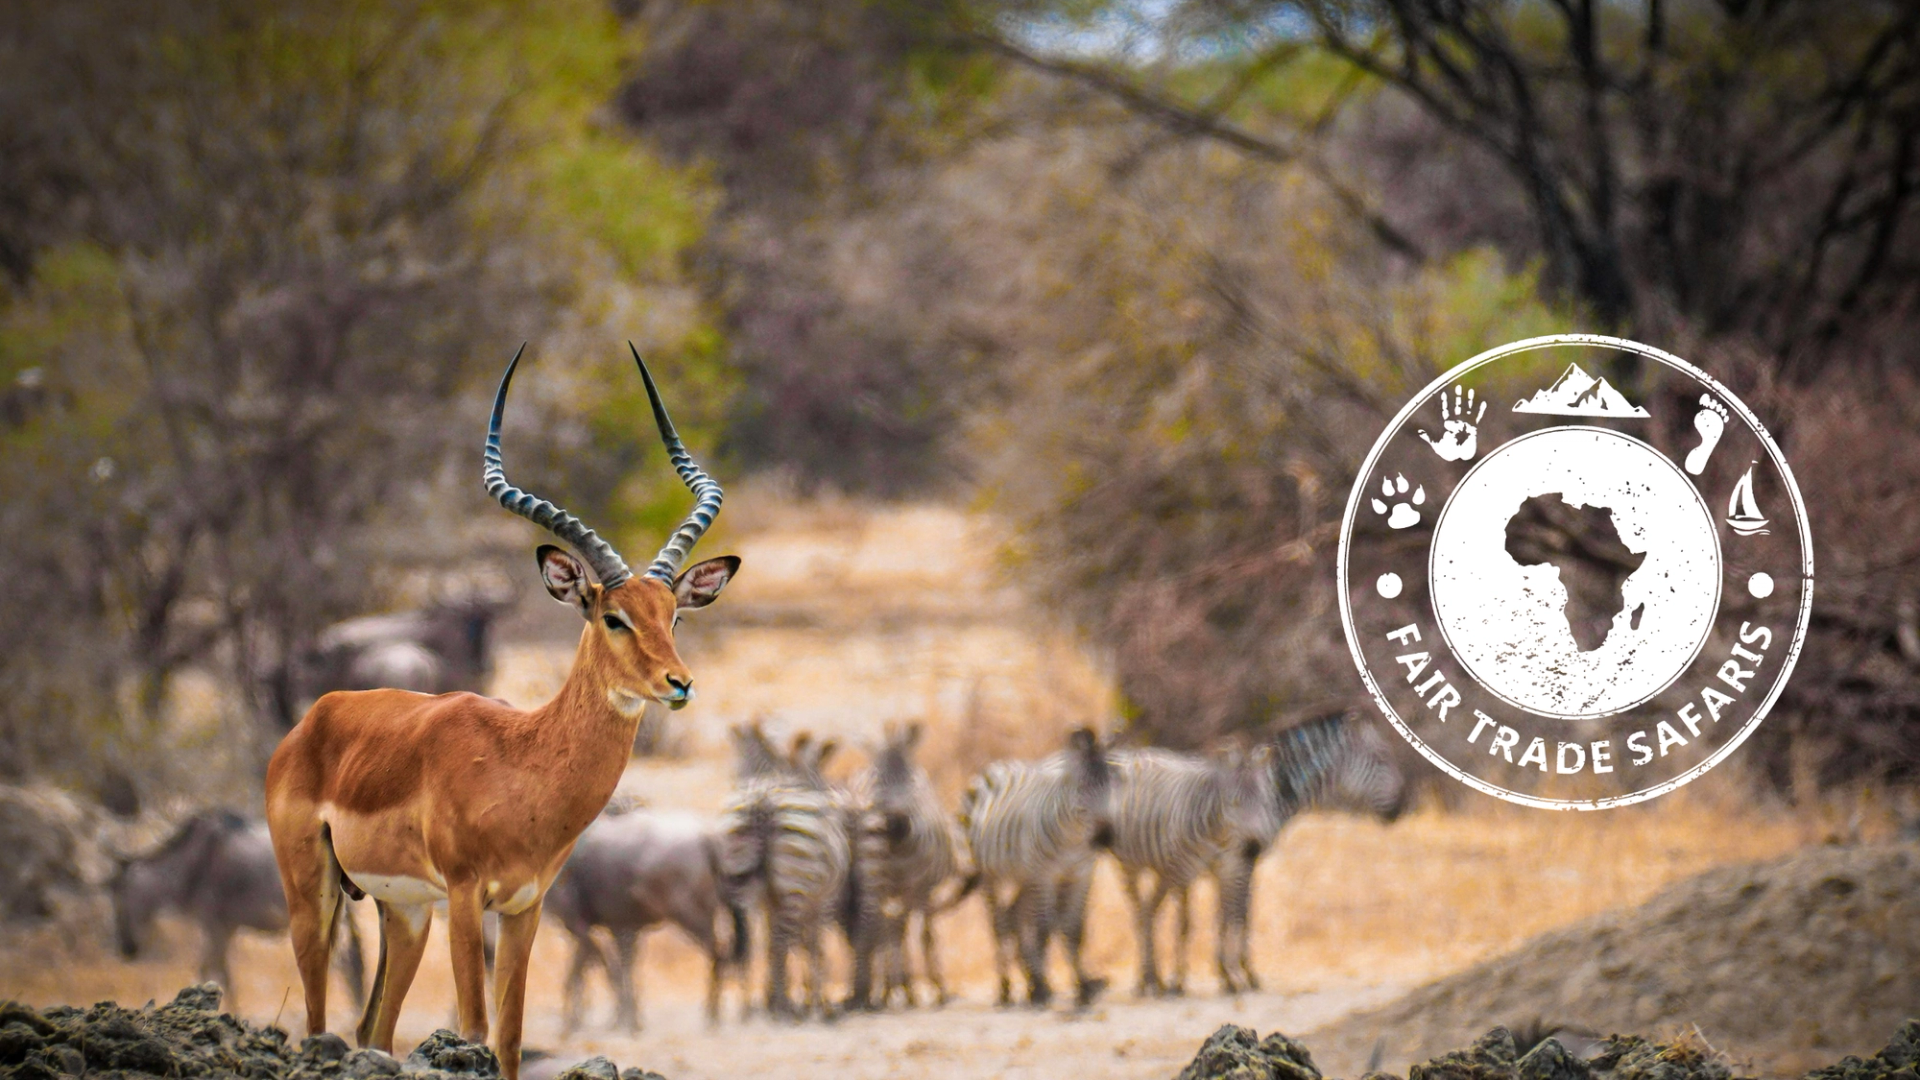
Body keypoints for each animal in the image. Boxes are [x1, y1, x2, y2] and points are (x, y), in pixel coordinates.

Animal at [265, 344, 738, 1080]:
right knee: (319, 1022)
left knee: (373, 1027)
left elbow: (511, 1036)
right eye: (613, 616)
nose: (678, 683)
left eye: (675, 615)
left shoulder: (524, 904)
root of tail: (315, 719)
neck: (522, 763)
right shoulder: (467, 896)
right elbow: (475, 1027)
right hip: (312, 894)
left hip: (404, 912)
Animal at [847, 721, 968, 1008]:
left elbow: (914, 932)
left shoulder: (919, 887)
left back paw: (884, 988)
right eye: (875, 783)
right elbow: (905, 932)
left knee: (888, 927)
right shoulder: (902, 888)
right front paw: (923, 986)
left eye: (910, 782)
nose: (895, 824)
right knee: (887, 927)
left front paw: (906, 987)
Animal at [957, 726, 1116, 1009]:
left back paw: (1028, 982)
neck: (1073, 838)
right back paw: (1006, 989)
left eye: (1111, 786)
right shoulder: (1045, 877)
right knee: (999, 924)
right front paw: (1042, 988)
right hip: (990, 876)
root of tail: (997, 765)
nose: (1105, 837)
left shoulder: (1081, 875)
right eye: (1082, 787)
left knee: (1013, 916)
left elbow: (1073, 930)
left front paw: (1083, 989)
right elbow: (1044, 928)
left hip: (1024, 876)